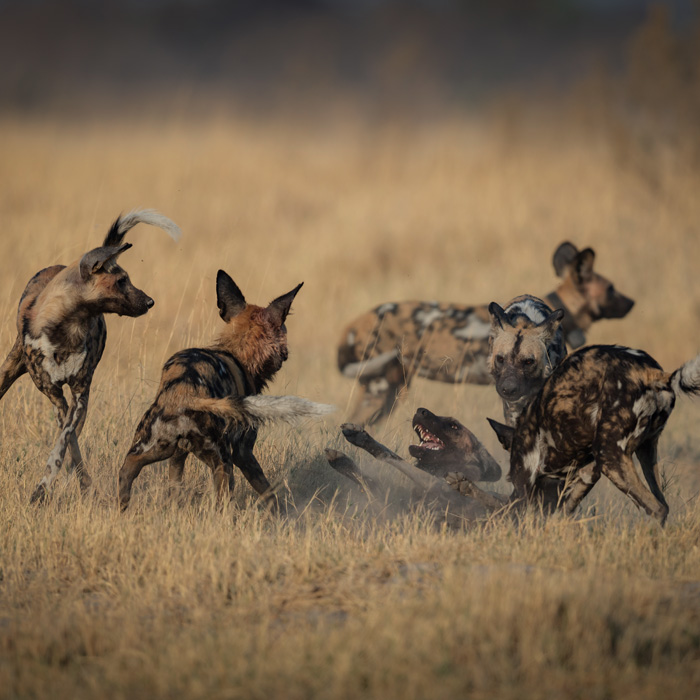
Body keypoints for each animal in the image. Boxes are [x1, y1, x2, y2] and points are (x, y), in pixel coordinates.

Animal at [118, 270, 334, 512]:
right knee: (223, 503)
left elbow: (174, 487)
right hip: (223, 462)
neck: (238, 351)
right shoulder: (243, 452)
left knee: (126, 472)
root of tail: (185, 394)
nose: (286, 353)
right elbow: (268, 492)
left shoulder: (179, 455)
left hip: (147, 450)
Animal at [486, 344, 700, 524]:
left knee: (657, 509)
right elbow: (560, 515)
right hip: (645, 453)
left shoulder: (524, 481)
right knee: (663, 505)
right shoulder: (587, 474)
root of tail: (652, 373)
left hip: (609, 456)